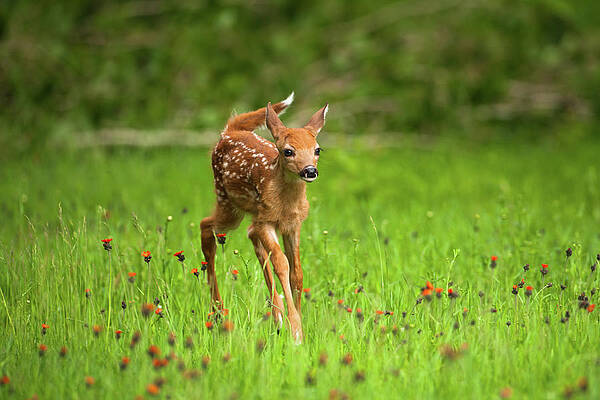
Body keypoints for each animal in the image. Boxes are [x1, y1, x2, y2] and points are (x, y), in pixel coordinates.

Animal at [200, 92, 328, 342]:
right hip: (227, 203)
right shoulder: (267, 221)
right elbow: (282, 264)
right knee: (205, 226)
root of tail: (229, 131)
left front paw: (296, 321)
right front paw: (296, 331)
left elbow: (297, 273)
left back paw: (276, 316)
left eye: (317, 149)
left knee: (250, 235)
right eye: (288, 151)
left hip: (248, 212)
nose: (310, 171)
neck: (286, 204)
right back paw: (218, 312)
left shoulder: (293, 225)